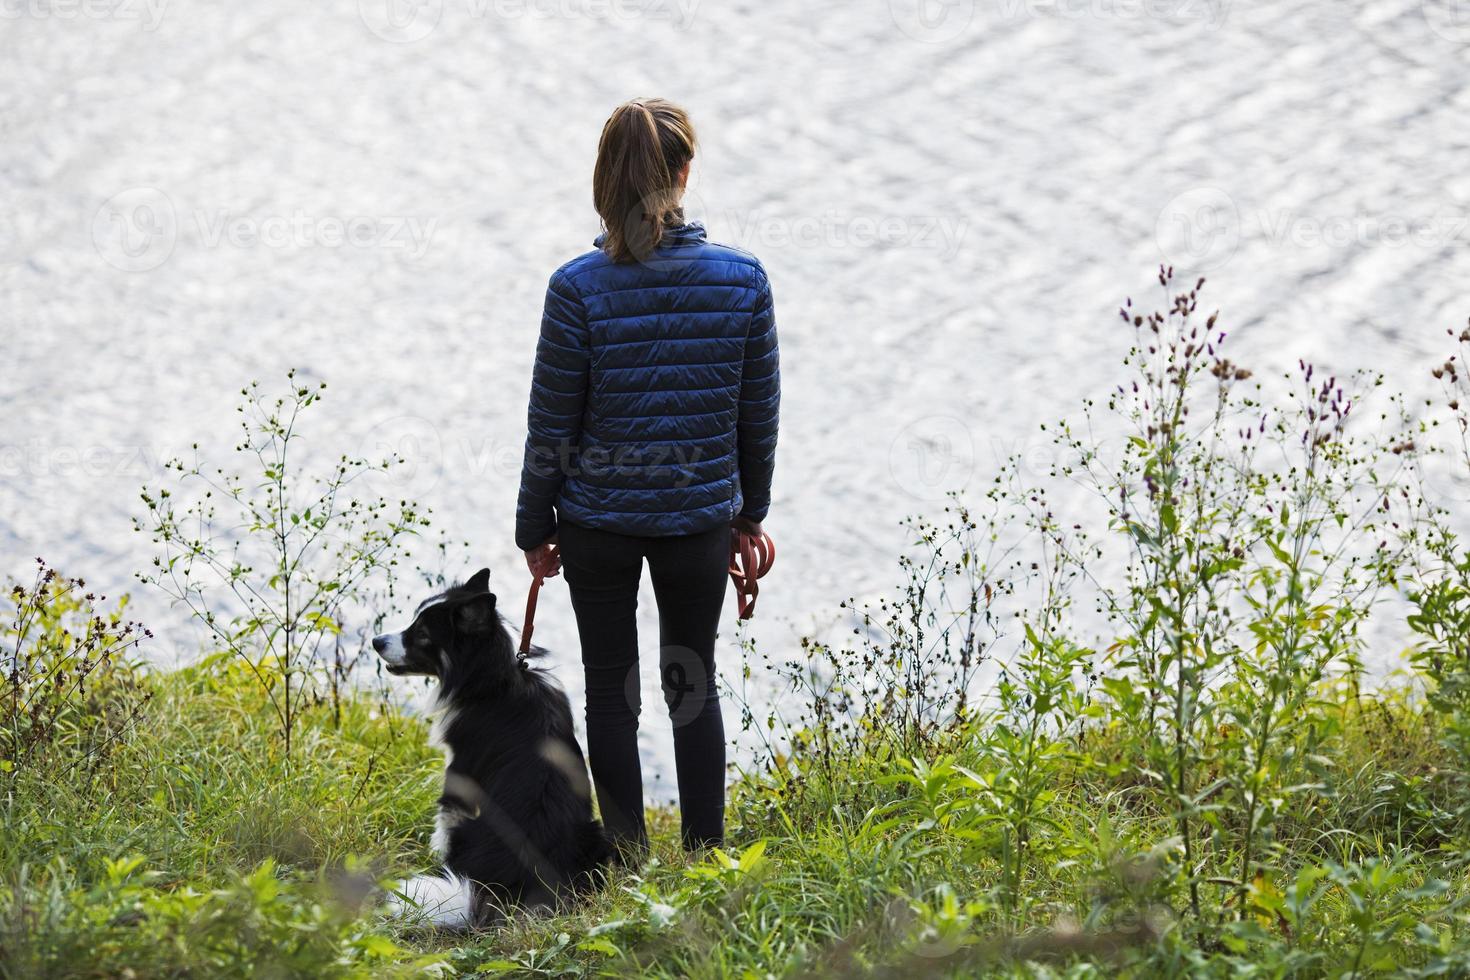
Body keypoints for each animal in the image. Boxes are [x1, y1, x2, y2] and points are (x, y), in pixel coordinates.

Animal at [379, 567, 614, 928]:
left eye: (421, 634)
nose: (376, 642)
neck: (492, 681)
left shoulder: (459, 773)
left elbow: (442, 822)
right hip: (595, 836)